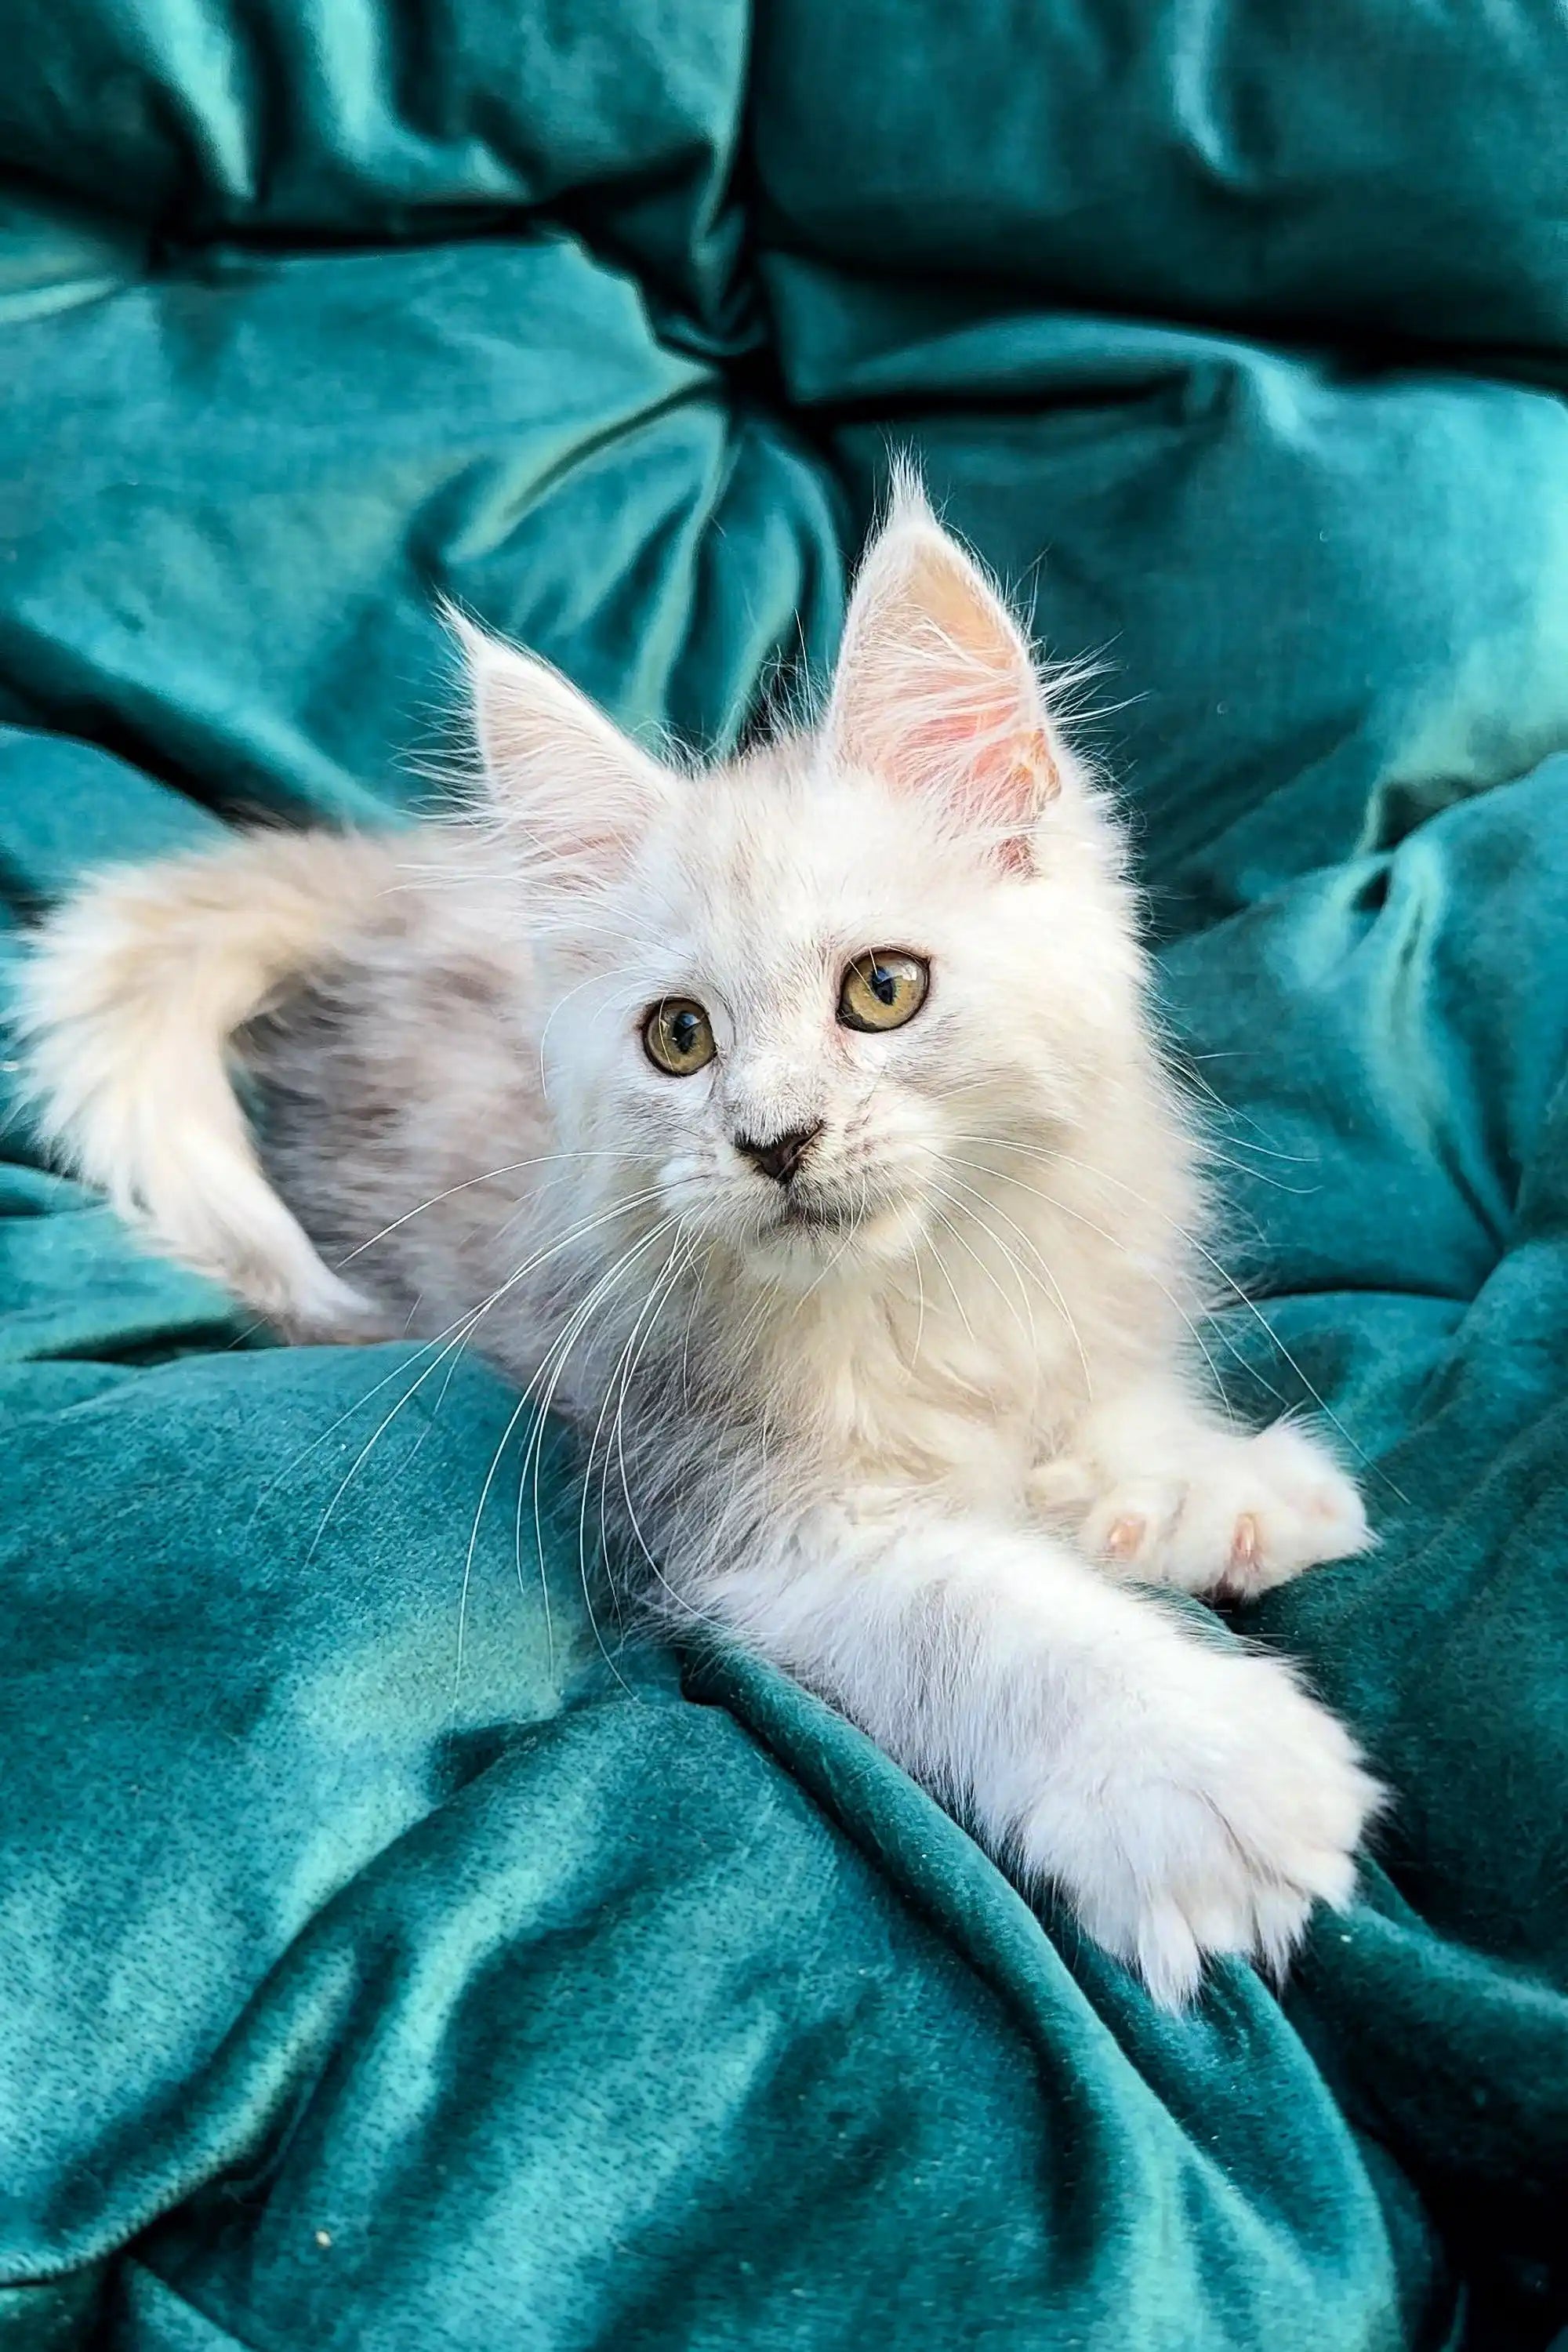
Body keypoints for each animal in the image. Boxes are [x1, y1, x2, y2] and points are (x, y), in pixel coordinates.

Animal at [21, 473, 1373, 2004]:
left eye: (883, 991)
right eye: (681, 1040)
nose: (774, 1141)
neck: (917, 1299)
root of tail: (409, 883)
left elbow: (1110, 1403)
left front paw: (1195, 1487)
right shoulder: (761, 1519)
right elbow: (995, 1623)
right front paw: (1202, 1772)